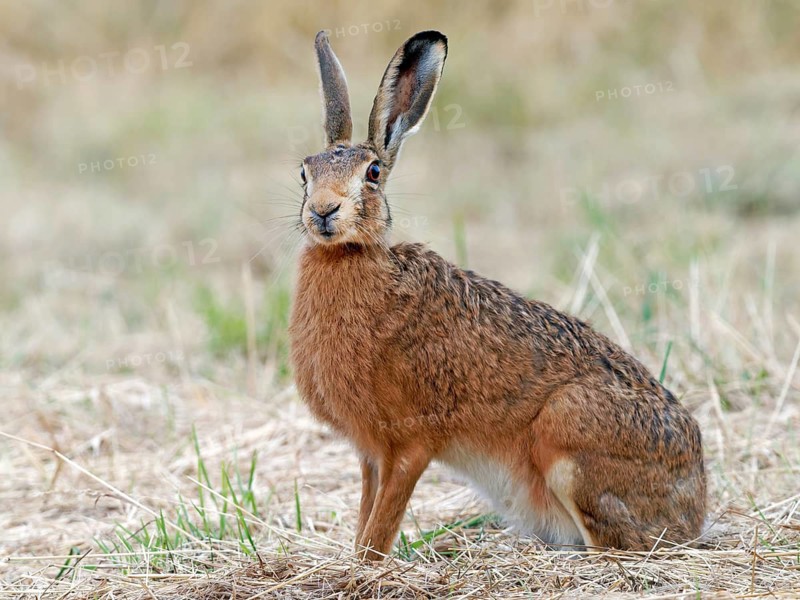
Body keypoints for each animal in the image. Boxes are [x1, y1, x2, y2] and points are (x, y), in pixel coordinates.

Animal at [288, 30, 707, 561]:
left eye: (374, 172)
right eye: (305, 172)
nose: (324, 211)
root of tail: (696, 503)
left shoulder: (410, 445)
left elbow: (381, 526)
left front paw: (363, 568)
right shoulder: (370, 454)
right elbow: (366, 515)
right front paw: (353, 560)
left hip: (569, 432)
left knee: (619, 543)